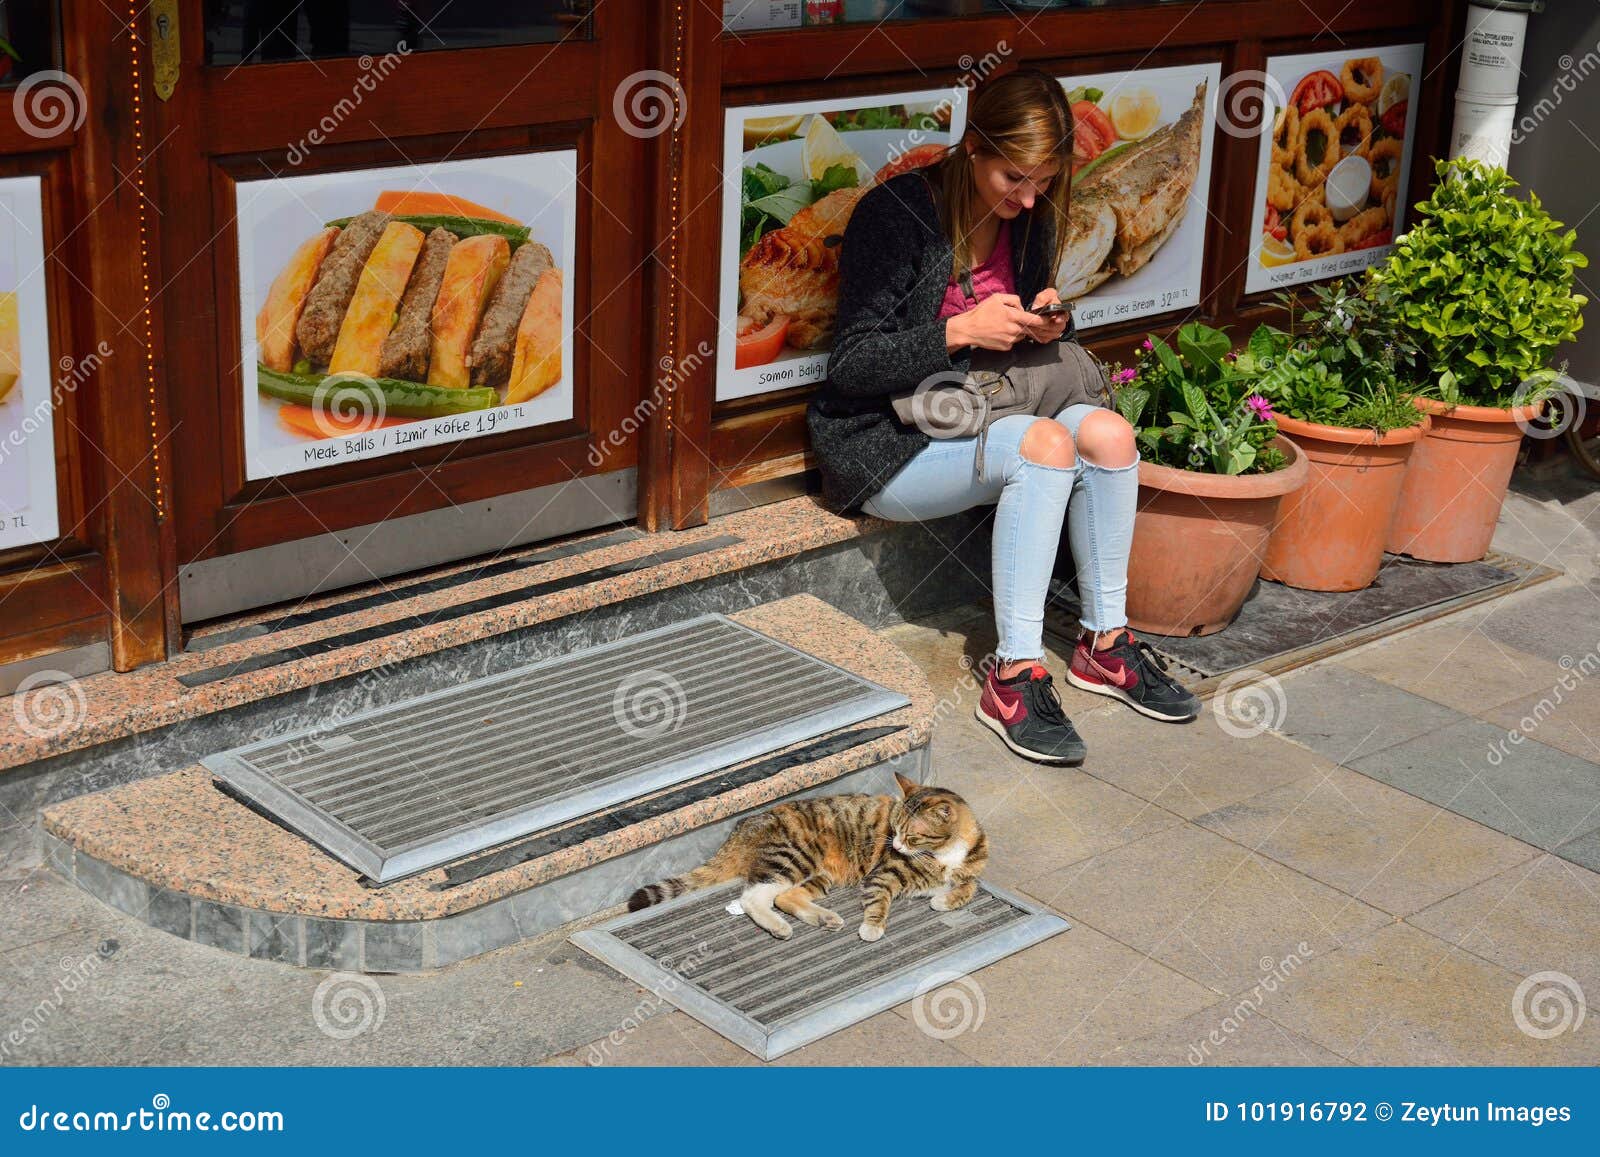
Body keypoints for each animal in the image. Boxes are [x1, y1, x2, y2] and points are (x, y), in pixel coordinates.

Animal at [627, 768, 985, 940]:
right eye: (894, 830)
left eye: (909, 835)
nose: (894, 846)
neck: (946, 853)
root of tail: (741, 827)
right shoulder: (881, 876)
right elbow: (879, 903)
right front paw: (872, 929)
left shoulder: (967, 871)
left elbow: (970, 886)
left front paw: (946, 899)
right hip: (793, 857)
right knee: (754, 897)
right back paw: (779, 927)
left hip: (819, 872)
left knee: (783, 897)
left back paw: (822, 917)